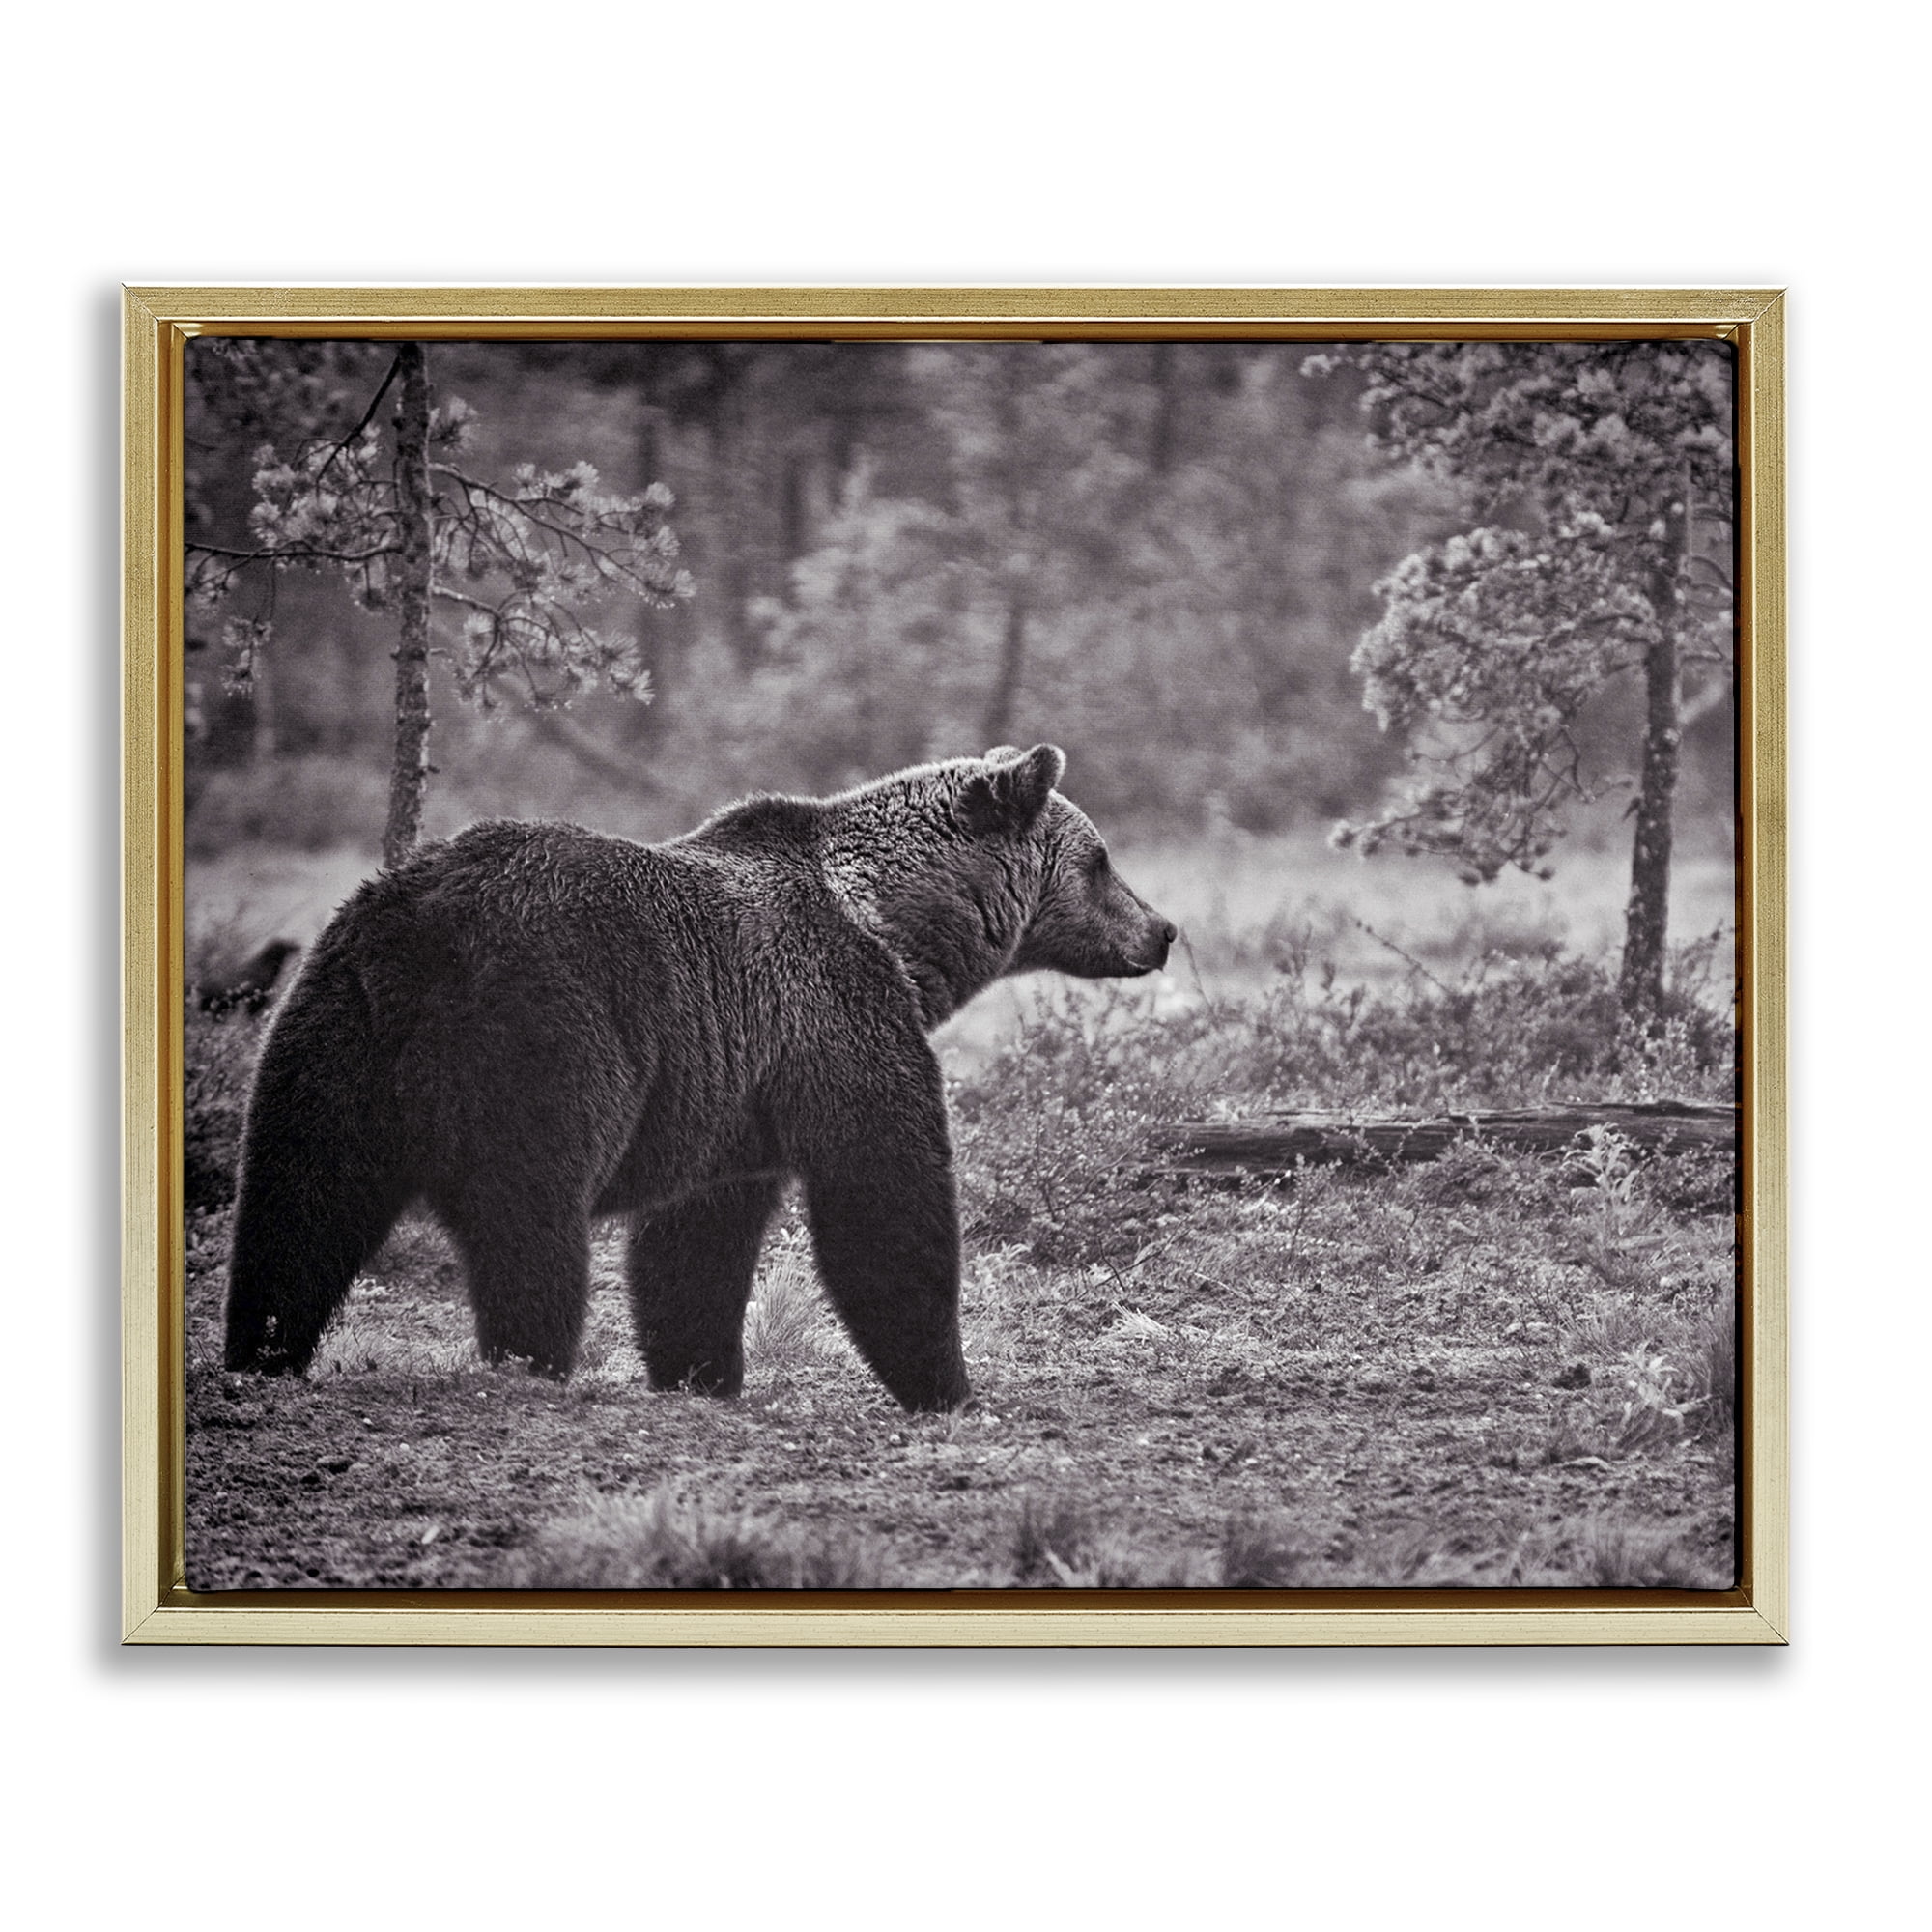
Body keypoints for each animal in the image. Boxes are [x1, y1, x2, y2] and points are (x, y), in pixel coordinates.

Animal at [223, 743, 1175, 1412]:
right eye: (1101, 860)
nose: (1162, 929)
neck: (896, 930)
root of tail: (417, 929)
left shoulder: (730, 1088)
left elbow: (696, 1240)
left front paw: (700, 1370)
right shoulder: (835, 1017)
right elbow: (884, 1195)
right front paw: (945, 1383)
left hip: (330, 1032)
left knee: (298, 1203)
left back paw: (263, 1350)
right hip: (542, 1033)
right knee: (529, 1217)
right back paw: (530, 1359)